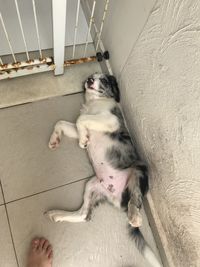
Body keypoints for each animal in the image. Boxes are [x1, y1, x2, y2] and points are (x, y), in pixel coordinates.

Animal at [45, 73, 161, 267]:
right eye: (91, 77)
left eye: (105, 80)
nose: (89, 81)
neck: (95, 101)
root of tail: (119, 199)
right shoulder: (82, 126)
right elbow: (63, 122)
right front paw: (56, 140)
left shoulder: (110, 120)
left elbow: (81, 119)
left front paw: (82, 140)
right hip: (92, 185)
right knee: (84, 215)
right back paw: (57, 214)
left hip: (139, 170)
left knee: (135, 199)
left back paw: (135, 216)